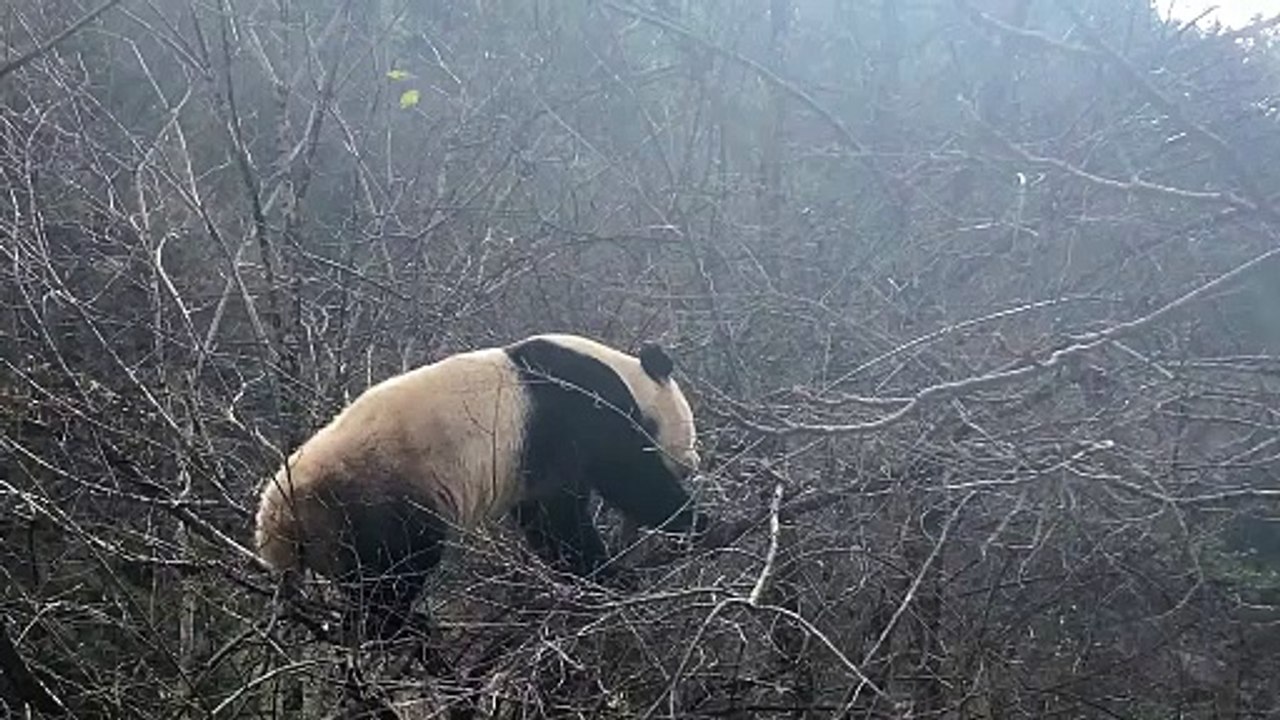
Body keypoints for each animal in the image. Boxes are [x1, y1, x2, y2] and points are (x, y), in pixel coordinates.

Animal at [254, 333, 706, 637]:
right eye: (690, 431)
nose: (694, 463)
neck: (626, 372)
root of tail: (278, 519)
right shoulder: (579, 404)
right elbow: (625, 475)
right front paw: (696, 526)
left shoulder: (539, 460)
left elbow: (551, 520)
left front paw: (598, 576)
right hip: (372, 494)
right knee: (400, 561)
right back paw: (395, 624)